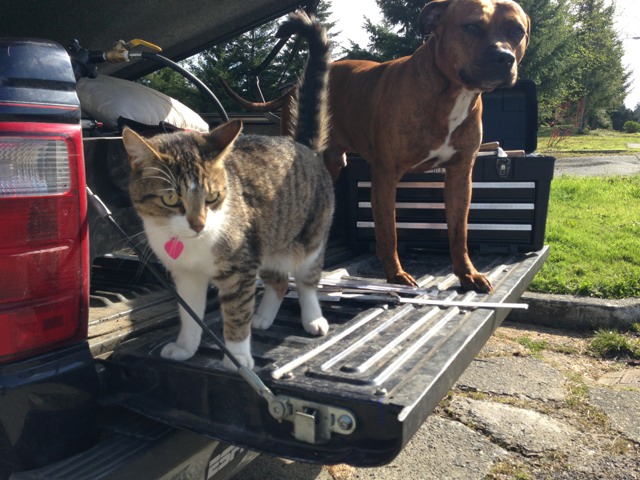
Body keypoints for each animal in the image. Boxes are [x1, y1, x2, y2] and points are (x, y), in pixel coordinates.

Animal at [121, 11, 332, 370]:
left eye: (212, 196)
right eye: (171, 199)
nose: (198, 224)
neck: (193, 245)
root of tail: (303, 145)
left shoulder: (240, 269)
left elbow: (235, 315)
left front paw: (237, 358)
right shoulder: (186, 275)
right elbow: (190, 315)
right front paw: (185, 347)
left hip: (309, 239)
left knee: (305, 280)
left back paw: (312, 318)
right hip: (268, 240)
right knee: (278, 281)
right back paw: (263, 317)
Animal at [220, 0, 530, 291]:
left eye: (517, 31)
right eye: (472, 27)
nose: (504, 58)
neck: (450, 93)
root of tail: (291, 88)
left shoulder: (459, 176)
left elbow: (459, 233)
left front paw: (467, 274)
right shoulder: (386, 175)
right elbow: (388, 232)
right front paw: (395, 275)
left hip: (334, 164)